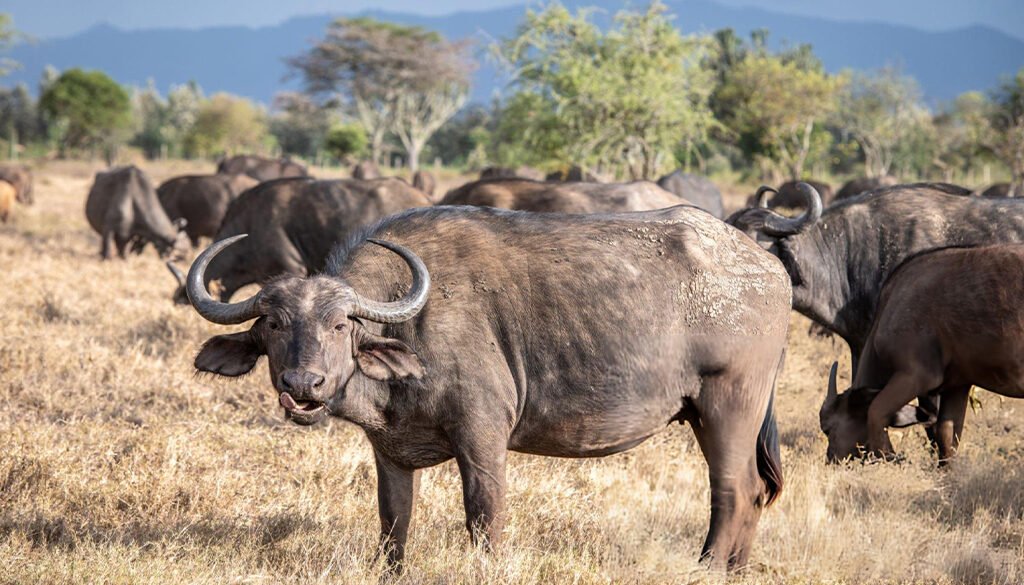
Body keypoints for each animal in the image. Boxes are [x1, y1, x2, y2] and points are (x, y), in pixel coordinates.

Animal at [183, 204, 789, 570]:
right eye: (273, 324)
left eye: (340, 325)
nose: (302, 384)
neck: (412, 324)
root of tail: (767, 266)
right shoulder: (390, 453)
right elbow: (393, 522)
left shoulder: (481, 438)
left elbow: (484, 517)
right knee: (756, 491)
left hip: (729, 405)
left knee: (734, 491)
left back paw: (707, 566)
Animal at [820, 244, 1024, 464]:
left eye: (828, 429)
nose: (831, 460)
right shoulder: (958, 386)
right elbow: (946, 433)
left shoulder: (915, 376)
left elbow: (876, 411)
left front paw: (887, 457)